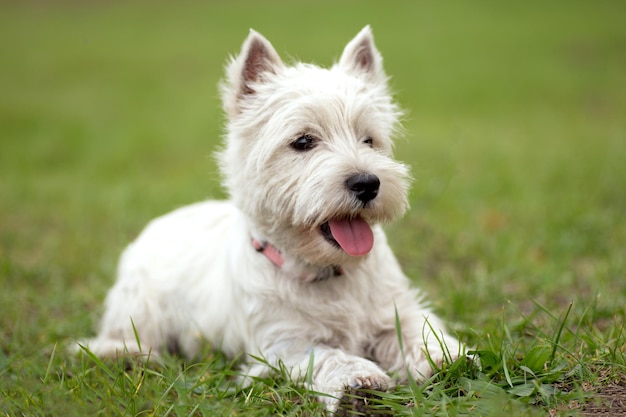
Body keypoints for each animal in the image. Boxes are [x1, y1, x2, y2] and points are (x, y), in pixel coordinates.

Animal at [80, 26, 460, 412]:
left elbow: (418, 331)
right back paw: (127, 355)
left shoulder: (394, 310)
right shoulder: (282, 345)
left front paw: (445, 358)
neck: (327, 272)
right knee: (119, 335)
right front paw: (359, 381)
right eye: (303, 141)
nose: (367, 183)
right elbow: (328, 355)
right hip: (140, 303)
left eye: (369, 140)